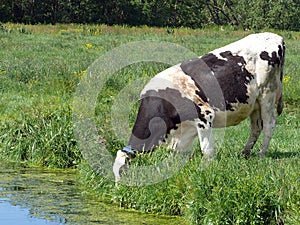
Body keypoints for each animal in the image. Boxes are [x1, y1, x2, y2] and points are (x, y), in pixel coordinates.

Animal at [113, 32, 286, 183]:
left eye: (122, 171)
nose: (118, 189)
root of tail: (276, 37)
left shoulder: (205, 116)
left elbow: (206, 150)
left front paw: (208, 169)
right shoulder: (184, 130)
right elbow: (177, 152)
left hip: (267, 94)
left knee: (269, 125)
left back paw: (261, 154)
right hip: (254, 103)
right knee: (256, 128)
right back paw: (245, 153)